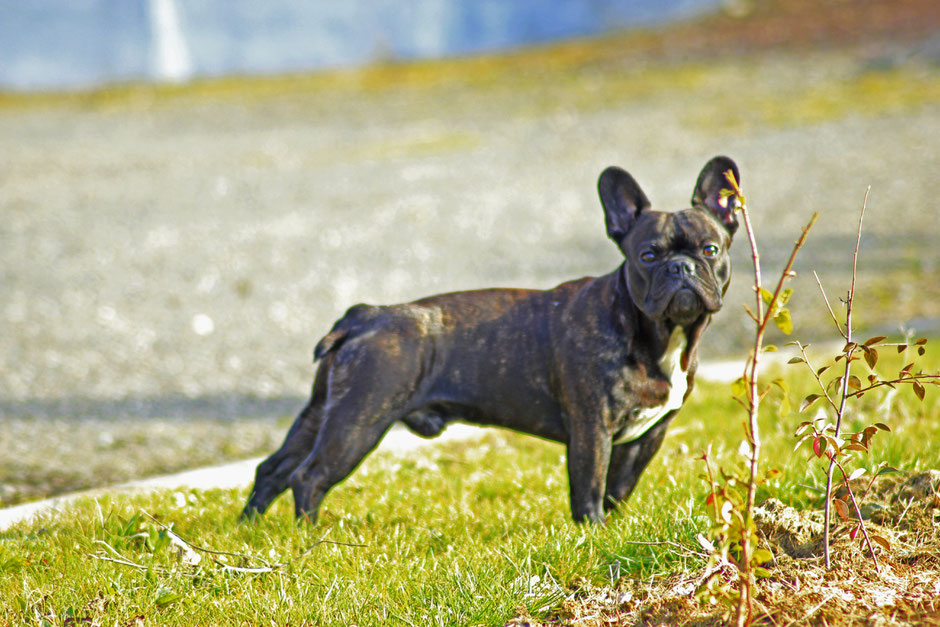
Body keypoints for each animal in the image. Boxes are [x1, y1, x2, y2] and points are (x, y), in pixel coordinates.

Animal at [239, 157, 740, 524]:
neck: (658, 334)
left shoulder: (649, 434)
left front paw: (615, 530)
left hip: (322, 412)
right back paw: (308, 537)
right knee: (309, 477)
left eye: (710, 249)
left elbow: (618, 487)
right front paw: (594, 532)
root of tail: (366, 316)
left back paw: (252, 528)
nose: (680, 267)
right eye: (648, 255)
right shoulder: (591, 429)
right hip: (358, 421)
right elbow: (591, 488)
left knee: (274, 468)